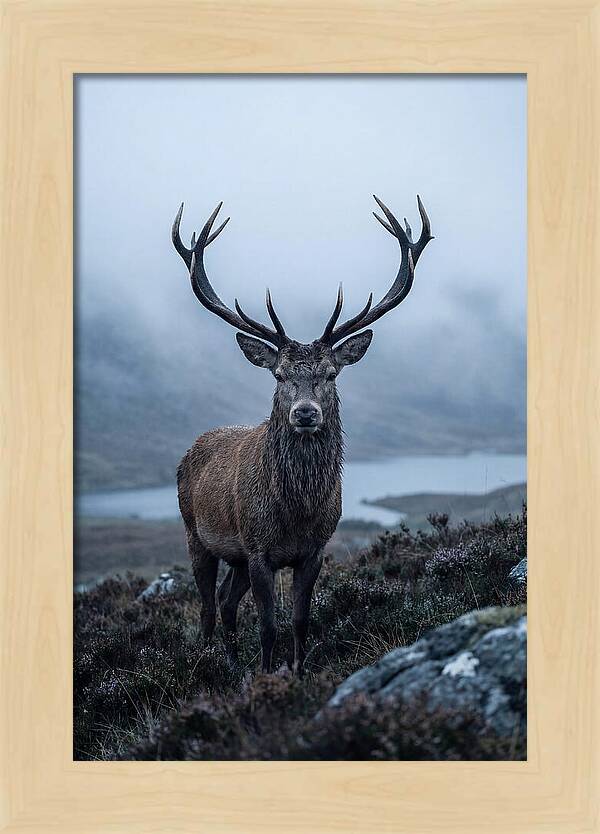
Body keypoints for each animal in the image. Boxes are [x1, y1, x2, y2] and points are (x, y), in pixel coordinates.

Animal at [172, 195, 433, 674]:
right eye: (279, 375)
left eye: (330, 373)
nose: (306, 413)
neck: (296, 512)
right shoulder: (258, 549)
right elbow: (268, 626)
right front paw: (266, 674)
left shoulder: (313, 550)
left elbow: (299, 620)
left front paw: (296, 671)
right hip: (195, 534)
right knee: (206, 605)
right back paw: (208, 661)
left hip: (234, 556)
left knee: (226, 601)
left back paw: (232, 663)